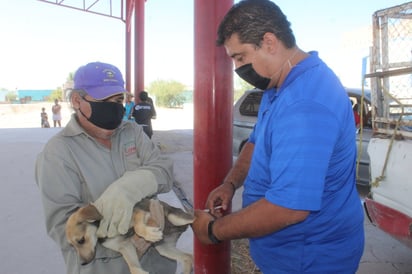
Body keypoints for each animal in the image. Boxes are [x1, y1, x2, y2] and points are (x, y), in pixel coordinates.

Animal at [66, 198, 195, 274]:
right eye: (72, 246)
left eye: (81, 240)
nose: (83, 263)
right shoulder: (125, 246)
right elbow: (133, 267)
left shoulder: (139, 214)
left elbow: (138, 227)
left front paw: (149, 234)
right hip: (163, 248)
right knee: (188, 257)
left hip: (176, 218)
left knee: (194, 217)